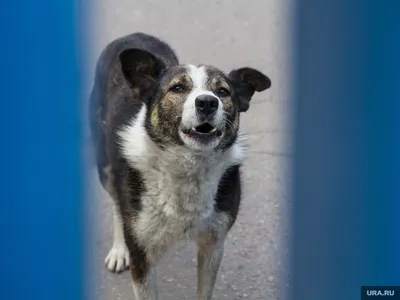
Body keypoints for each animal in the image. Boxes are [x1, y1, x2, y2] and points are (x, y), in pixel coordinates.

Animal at [90, 32, 272, 300]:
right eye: (177, 88)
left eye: (223, 91)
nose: (207, 102)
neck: (188, 168)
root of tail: (134, 35)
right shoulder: (141, 256)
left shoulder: (214, 244)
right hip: (105, 167)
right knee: (116, 202)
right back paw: (118, 250)